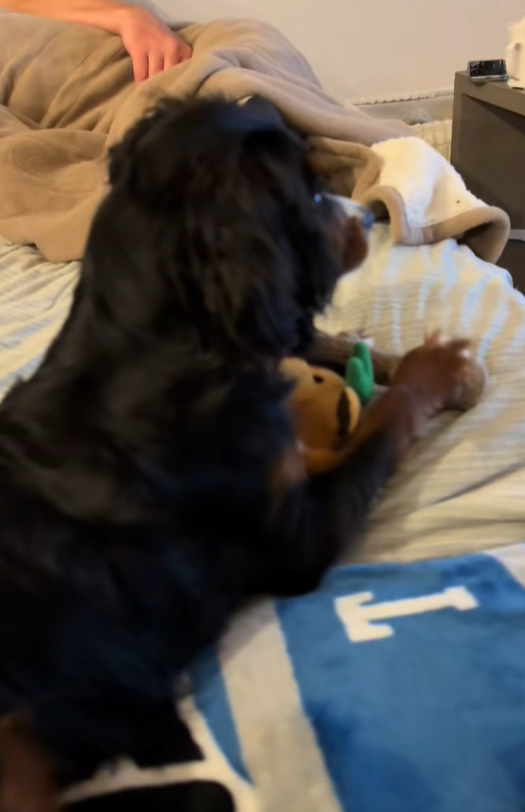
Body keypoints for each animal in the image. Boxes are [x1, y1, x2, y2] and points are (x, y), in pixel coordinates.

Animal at [0, 98, 470, 808]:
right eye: (310, 192)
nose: (366, 216)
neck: (157, 344)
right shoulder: (297, 537)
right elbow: (384, 422)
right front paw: (433, 369)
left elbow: (326, 346)